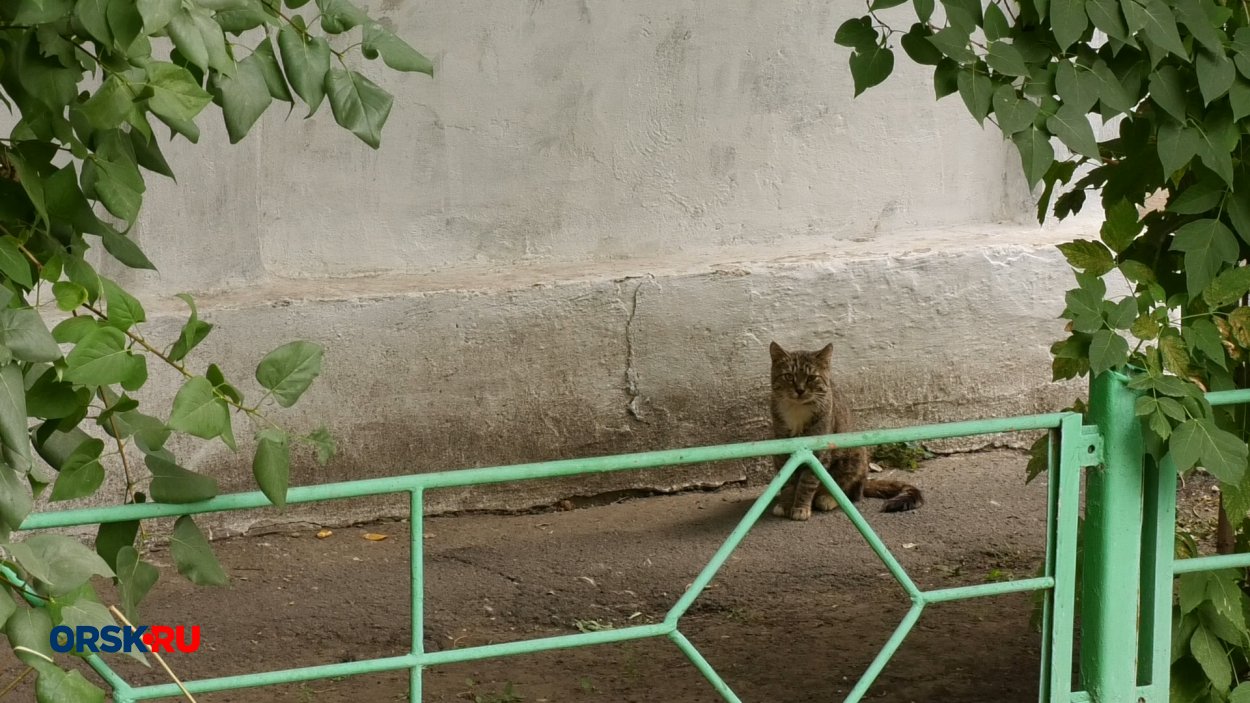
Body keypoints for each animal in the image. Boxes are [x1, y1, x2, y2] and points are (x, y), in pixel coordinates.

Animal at [765, 342, 925, 517]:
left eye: (811, 378)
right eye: (789, 376)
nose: (800, 390)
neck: (797, 410)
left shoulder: (818, 452)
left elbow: (807, 482)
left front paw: (800, 508)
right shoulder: (781, 448)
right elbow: (786, 480)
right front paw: (785, 504)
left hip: (854, 455)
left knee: (849, 492)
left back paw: (827, 498)